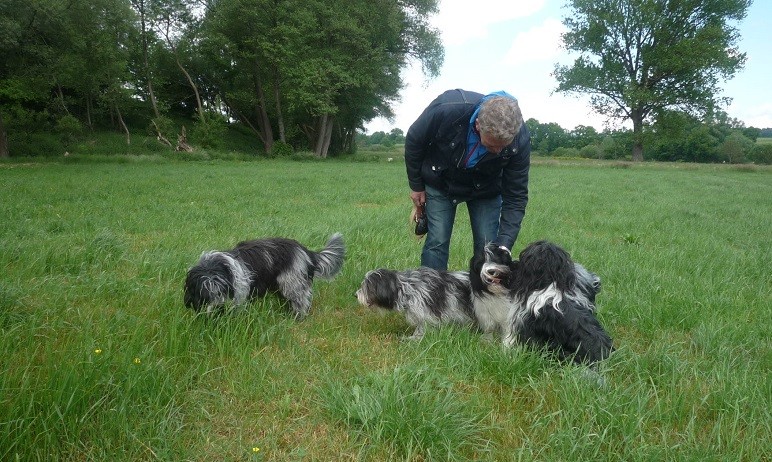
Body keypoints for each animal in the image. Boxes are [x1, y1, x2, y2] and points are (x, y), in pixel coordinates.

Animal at [184, 233, 344, 320]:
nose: (219, 308)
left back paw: (297, 317)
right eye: (204, 292)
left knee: (300, 301)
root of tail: (306, 251)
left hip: (292, 283)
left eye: (222, 289)